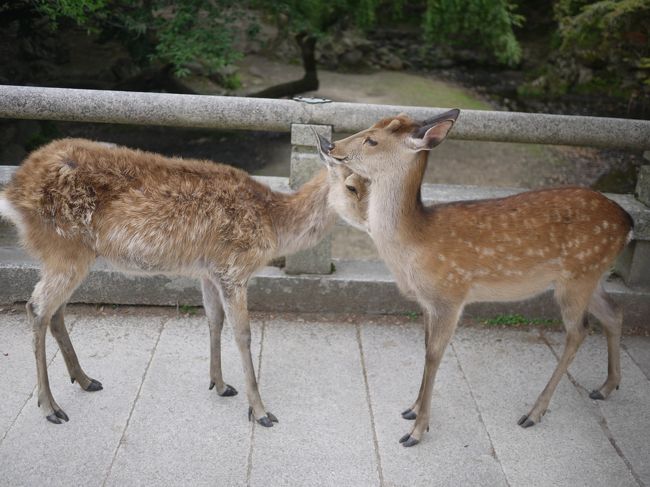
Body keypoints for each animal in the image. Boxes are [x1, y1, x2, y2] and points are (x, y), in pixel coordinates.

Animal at [0, 137, 360, 428]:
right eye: (353, 185)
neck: (274, 225)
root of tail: (12, 194)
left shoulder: (210, 271)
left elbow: (214, 320)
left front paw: (221, 385)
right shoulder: (234, 268)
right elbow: (243, 334)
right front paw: (261, 412)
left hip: (69, 255)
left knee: (54, 311)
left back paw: (85, 380)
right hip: (65, 248)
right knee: (36, 307)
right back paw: (51, 407)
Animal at [316, 111, 632, 450]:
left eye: (372, 140)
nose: (330, 145)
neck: (414, 245)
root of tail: (629, 222)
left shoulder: (451, 295)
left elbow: (434, 355)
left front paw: (416, 431)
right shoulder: (427, 302)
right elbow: (425, 348)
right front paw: (412, 409)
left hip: (578, 275)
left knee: (579, 330)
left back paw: (534, 412)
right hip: (591, 274)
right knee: (614, 311)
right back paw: (606, 386)